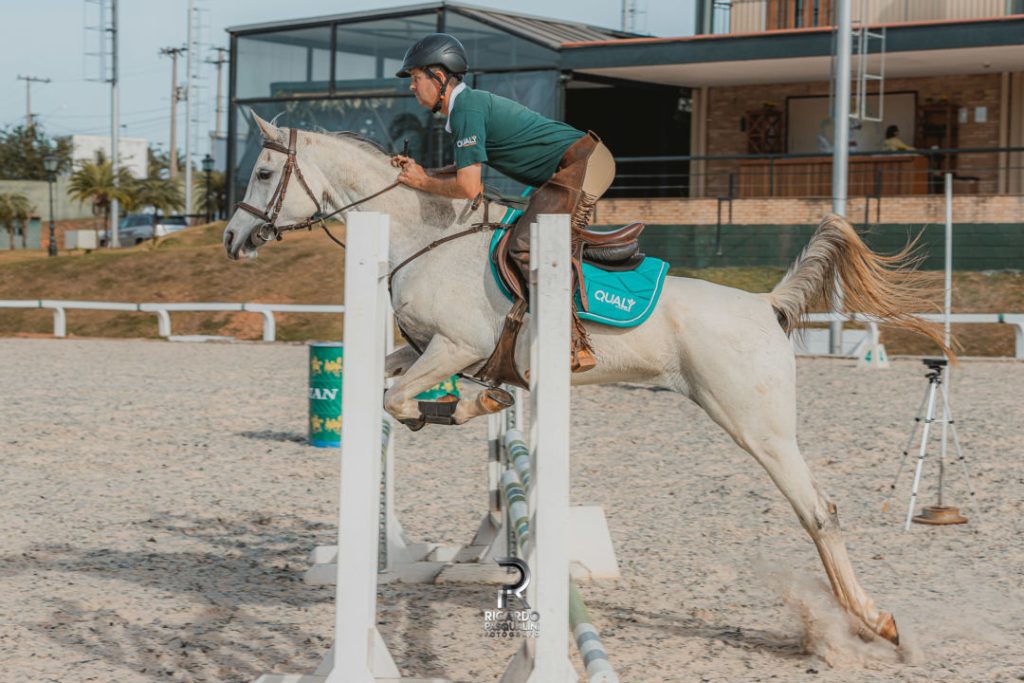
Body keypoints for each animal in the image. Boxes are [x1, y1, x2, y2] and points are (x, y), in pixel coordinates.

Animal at [226, 113, 950, 651]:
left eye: (262, 171)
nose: (234, 239)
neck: (422, 238)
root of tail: (765, 305)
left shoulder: (457, 346)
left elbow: (399, 398)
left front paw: (460, 406)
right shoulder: (429, 348)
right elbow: (385, 383)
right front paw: (464, 403)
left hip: (757, 426)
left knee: (819, 511)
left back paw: (873, 624)